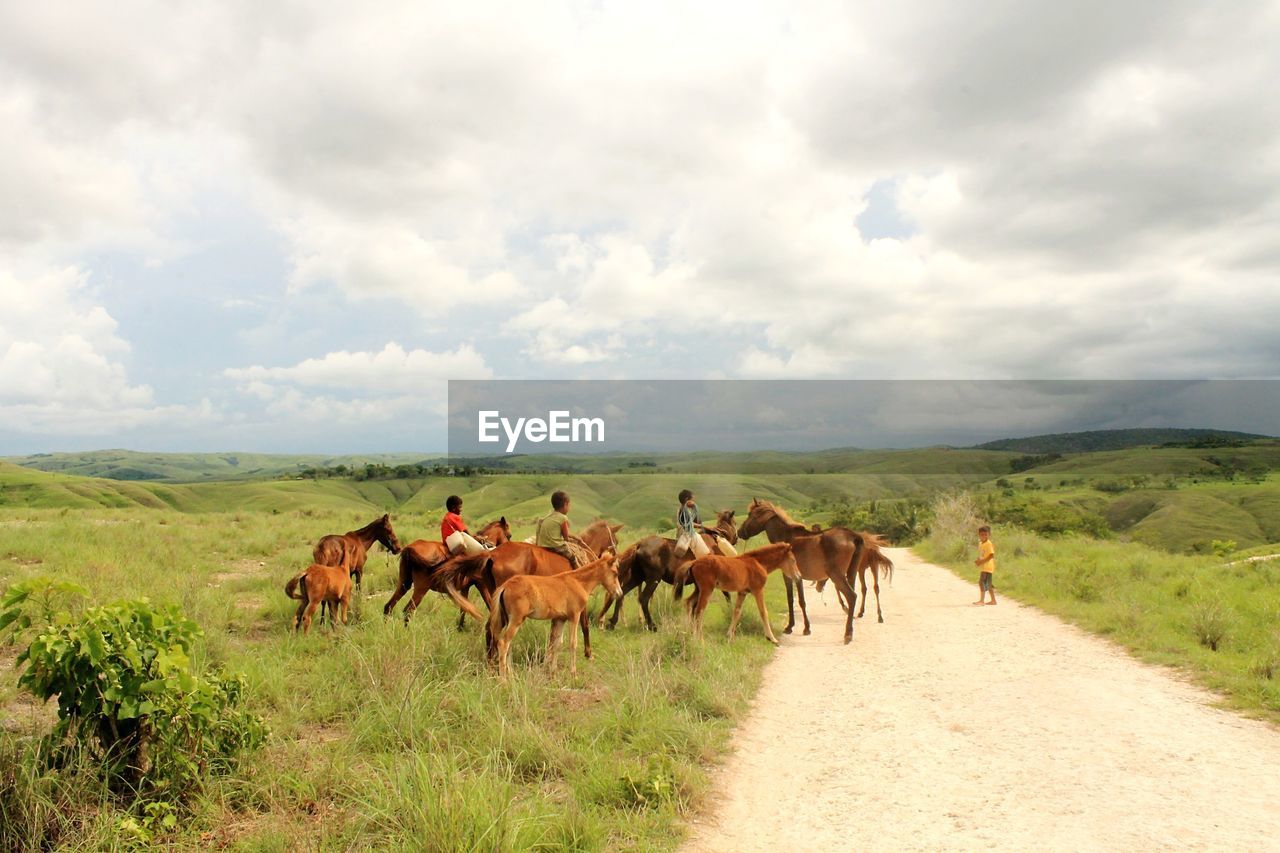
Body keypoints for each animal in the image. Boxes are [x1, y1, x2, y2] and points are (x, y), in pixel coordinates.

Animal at [483, 548, 619, 676]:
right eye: (615, 573)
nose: (618, 592)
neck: (578, 582)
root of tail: (506, 586)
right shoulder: (574, 616)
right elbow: (572, 643)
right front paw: (573, 674)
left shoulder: (560, 619)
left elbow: (557, 644)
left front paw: (553, 672)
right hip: (516, 620)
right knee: (503, 643)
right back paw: (504, 679)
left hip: (507, 619)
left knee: (507, 643)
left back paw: (510, 673)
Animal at [593, 504, 737, 630]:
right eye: (735, 523)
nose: (736, 538)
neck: (715, 543)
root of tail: (639, 544)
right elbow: (726, 595)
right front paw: (729, 611)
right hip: (653, 579)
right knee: (643, 598)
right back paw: (651, 625)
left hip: (637, 577)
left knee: (622, 593)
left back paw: (612, 622)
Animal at [737, 494, 865, 640]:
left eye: (750, 514)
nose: (739, 532)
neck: (786, 537)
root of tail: (853, 536)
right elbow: (796, 600)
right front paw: (799, 626)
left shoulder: (790, 576)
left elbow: (796, 600)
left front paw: (797, 627)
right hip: (851, 574)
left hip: (837, 575)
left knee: (852, 596)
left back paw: (848, 633)